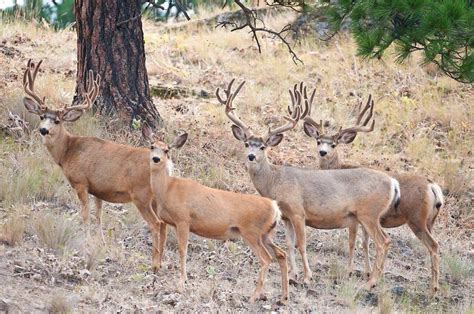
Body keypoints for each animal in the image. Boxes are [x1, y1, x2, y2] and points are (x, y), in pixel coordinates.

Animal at [22, 60, 167, 272]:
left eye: (57, 120)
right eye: (42, 116)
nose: (43, 130)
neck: (68, 151)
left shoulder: (81, 183)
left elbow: (85, 215)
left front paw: (86, 241)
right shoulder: (99, 190)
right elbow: (99, 217)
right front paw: (101, 244)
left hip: (141, 195)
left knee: (156, 223)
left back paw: (155, 265)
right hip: (155, 199)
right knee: (164, 223)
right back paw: (161, 261)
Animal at [141, 125, 288, 304]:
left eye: (166, 150)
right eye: (151, 146)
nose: (156, 159)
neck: (168, 189)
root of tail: (275, 208)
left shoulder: (183, 220)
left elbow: (182, 250)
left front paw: (181, 284)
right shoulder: (168, 221)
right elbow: (162, 244)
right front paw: (157, 269)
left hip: (251, 232)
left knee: (266, 259)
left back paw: (253, 297)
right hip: (266, 234)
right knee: (282, 254)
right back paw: (283, 297)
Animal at [218, 79, 400, 290]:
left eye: (263, 147)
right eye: (247, 143)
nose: (251, 156)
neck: (275, 181)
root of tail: (393, 182)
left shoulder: (298, 212)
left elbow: (301, 244)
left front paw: (307, 277)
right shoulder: (286, 216)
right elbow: (290, 245)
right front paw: (293, 275)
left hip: (368, 213)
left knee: (383, 241)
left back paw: (371, 282)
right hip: (369, 216)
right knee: (382, 241)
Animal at [304, 94, 444, 292]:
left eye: (334, 144)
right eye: (318, 141)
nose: (323, 152)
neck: (340, 168)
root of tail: (432, 186)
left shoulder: (355, 217)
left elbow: (353, 242)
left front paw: (351, 272)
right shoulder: (363, 219)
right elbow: (365, 244)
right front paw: (367, 272)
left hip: (416, 219)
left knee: (432, 245)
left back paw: (433, 288)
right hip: (429, 221)